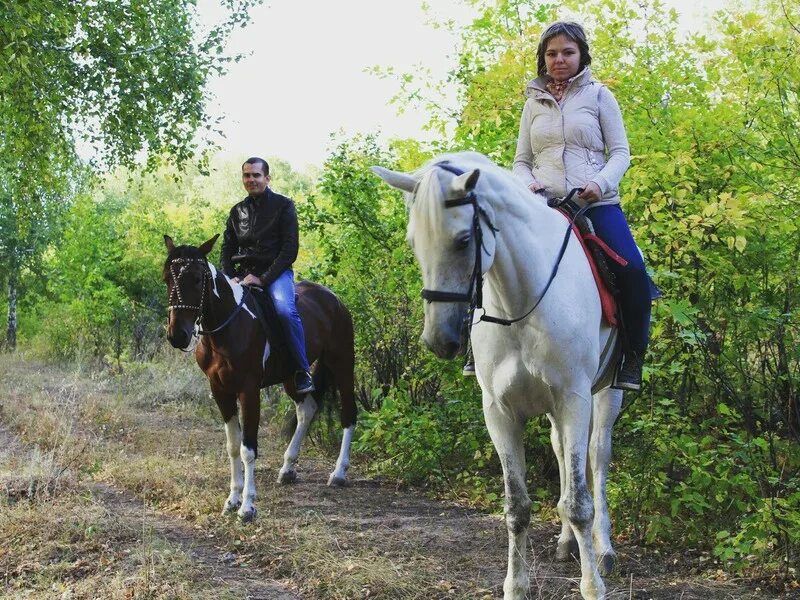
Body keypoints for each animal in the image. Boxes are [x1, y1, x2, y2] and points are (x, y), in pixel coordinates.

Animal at [162, 234, 356, 520]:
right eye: (167, 277)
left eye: (197, 278)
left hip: (342, 364)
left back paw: (339, 473)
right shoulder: (220, 390)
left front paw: (247, 507)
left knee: (349, 414)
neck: (229, 326)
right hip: (292, 376)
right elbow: (233, 445)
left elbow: (248, 449)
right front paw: (232, 500)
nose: (178, 335)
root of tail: (334, 299)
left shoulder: (249, 390)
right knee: (307, 409)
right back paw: (287, 469)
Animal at [374, 151, 624, 600]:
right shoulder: (500, 412)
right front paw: (516, 586)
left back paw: (604, 548)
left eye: (463, 240)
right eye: (414, 244)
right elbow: (517, 507)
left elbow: (580, 503)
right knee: (563, 454)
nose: (438, 340)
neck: (521, 302)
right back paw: (565, 543)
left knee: (597, 457)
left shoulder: (574, 399)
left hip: (607, 394)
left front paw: (593, 586)